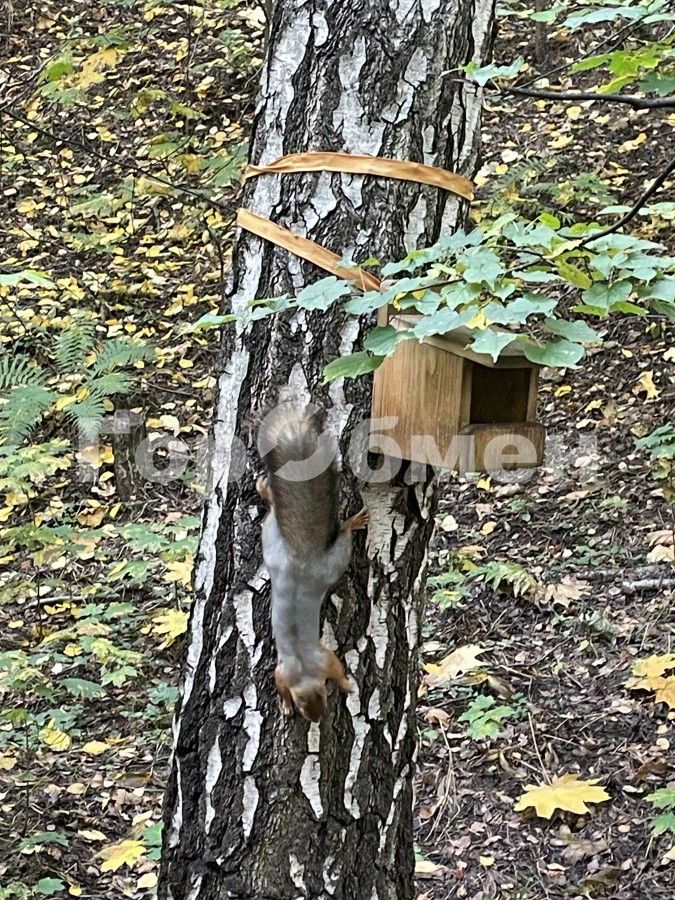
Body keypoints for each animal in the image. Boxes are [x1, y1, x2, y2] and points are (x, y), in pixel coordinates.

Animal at [257, 407, 369, 722]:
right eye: (306, 709)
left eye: (324, 699)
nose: (318, 719)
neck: (305, 672)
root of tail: (301, 560)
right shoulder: (283, 673)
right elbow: (280, 684)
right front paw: (284, 704)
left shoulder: (325, 659)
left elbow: (339, 670)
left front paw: (348, 685)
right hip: (273, 543)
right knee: (273, 506)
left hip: (319, 558)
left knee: (340, 539)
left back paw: (352, 522)